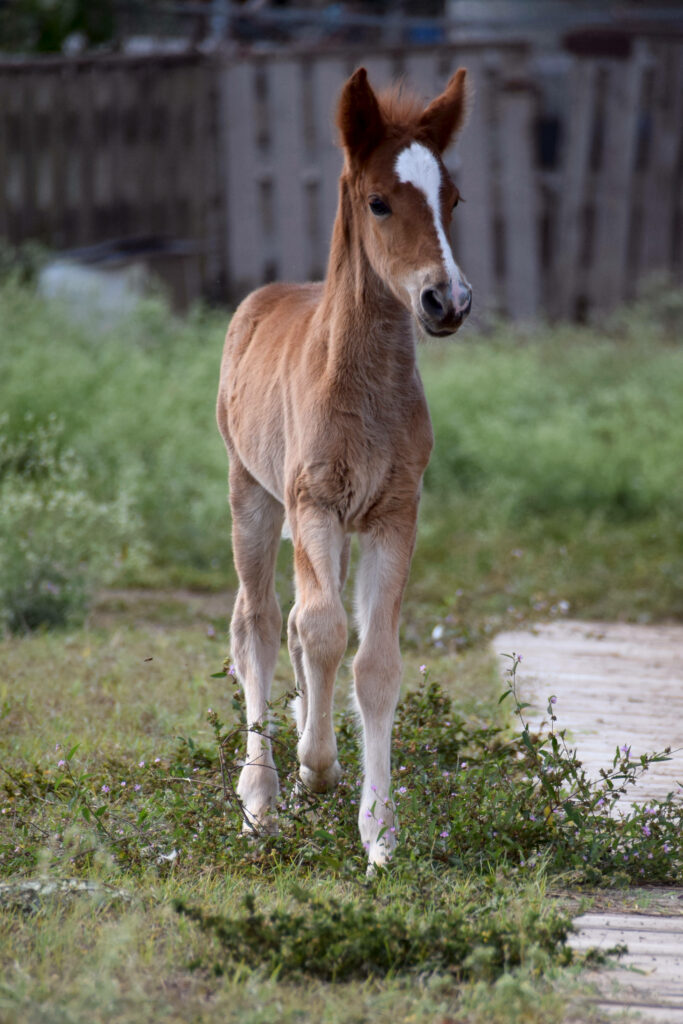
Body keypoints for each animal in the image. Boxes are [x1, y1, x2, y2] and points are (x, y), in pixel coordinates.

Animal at [216, 66, 472, 868]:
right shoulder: (313, 502)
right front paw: (316, 769)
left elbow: (374, 662)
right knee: (261, 624)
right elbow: (323, 630)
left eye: (453, 199)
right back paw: (261, 797)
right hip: (252, 495)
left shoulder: (393, 514)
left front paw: (380, 836)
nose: (446, 300)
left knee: (297, 625)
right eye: (379, 201)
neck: (362, 387)